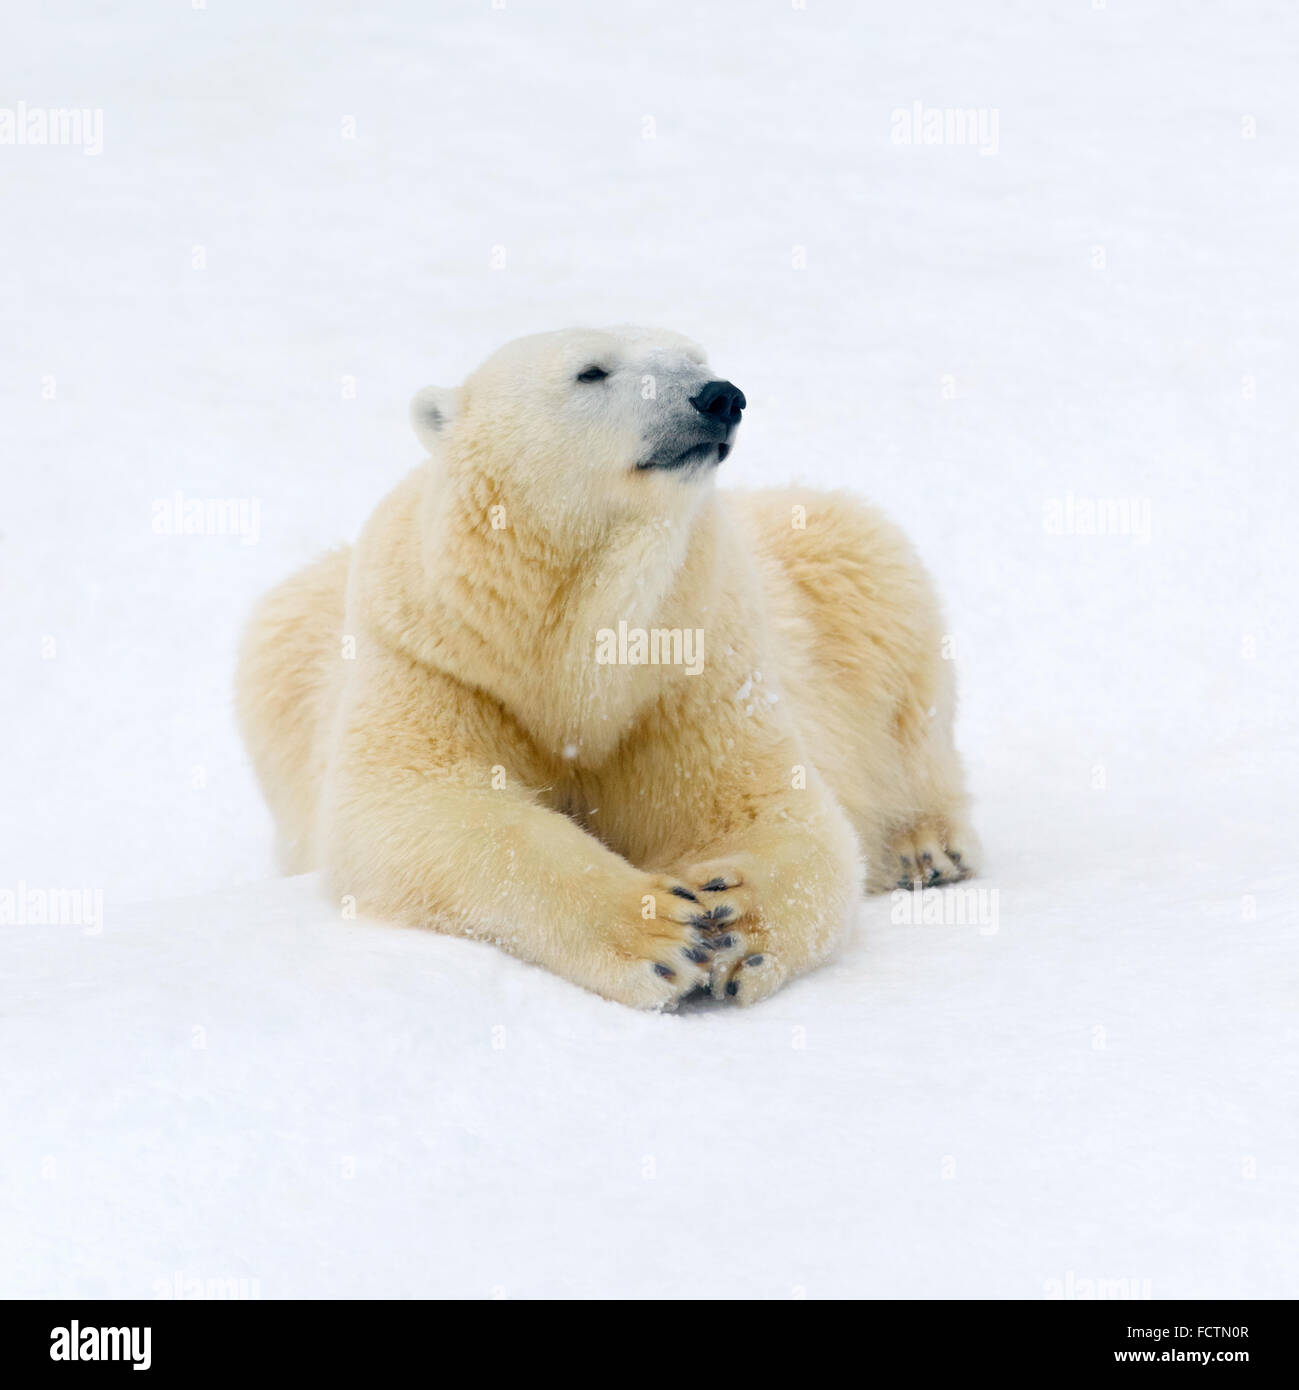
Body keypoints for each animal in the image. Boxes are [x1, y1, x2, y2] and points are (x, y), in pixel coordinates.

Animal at [238, 330, 978, 1017]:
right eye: (591, 371)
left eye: (695, 356)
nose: (719, 396)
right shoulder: (439, 662)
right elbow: (423, 807)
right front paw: (660, 933)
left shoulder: (692, 667)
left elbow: (767, 808)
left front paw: (734, 921)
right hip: (280, 647)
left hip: (840, 574)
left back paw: (926, 847)